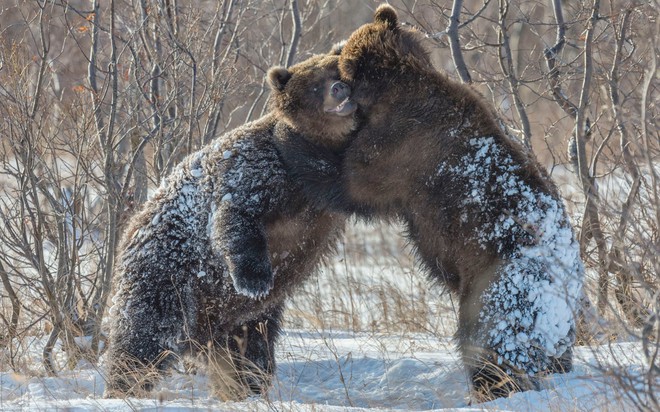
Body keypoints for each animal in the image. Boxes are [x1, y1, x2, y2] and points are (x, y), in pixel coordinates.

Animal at [104, 47, 358, 400]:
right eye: (316, 83)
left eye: (339, 70)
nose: (339, 89)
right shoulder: (257, 171)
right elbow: (236, 217)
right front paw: (255, 279)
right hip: (167, 278)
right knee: (144, 337)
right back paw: (124, 387)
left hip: (243, 320)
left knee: (250, 352)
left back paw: (244, 388)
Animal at [284, 4, 584, 400]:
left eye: (339, 53)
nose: (331, 51)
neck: (392, 89)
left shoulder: (400, 146)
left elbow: (352, 181)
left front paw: (293, 140)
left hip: (502, 281)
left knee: (491, 340)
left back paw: (494, 386)